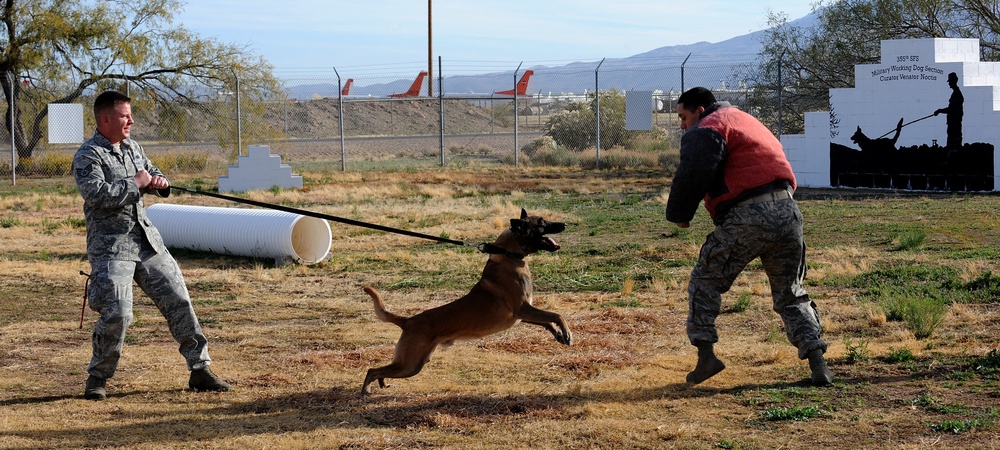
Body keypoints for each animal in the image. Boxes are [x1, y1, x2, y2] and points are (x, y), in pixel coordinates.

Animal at [364, 208, 576, 394]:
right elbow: (557, 315)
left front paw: (558, 334)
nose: (565, 224)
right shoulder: (522, 309)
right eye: (541, 223)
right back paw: (365, 390)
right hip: (411, 364)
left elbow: (547, 321)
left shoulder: (523, 314)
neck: (509, 255)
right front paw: (567, 333)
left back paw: (382, 384)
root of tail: (408, 321)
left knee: (381, 370)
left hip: (412, 363)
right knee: (372, 370)